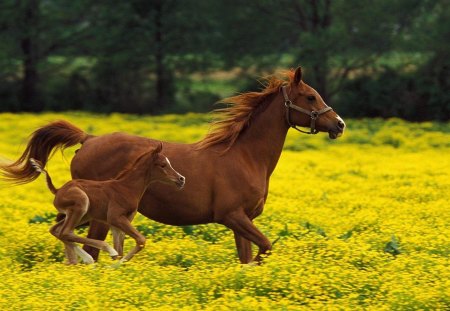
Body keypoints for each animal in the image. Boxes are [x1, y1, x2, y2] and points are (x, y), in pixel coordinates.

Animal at [29, 144, 185, 266]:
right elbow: (140, 240)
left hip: (83, 215)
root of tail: (58, 190)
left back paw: (80, 260)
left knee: (57, 230)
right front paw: (114, 264)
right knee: (65, 232)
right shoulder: (115, 217)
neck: (126, 188)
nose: (181, 179)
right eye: (163, 165)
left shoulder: (119, 222)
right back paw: (96, 255)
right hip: (81, 204)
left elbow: (121, 249)